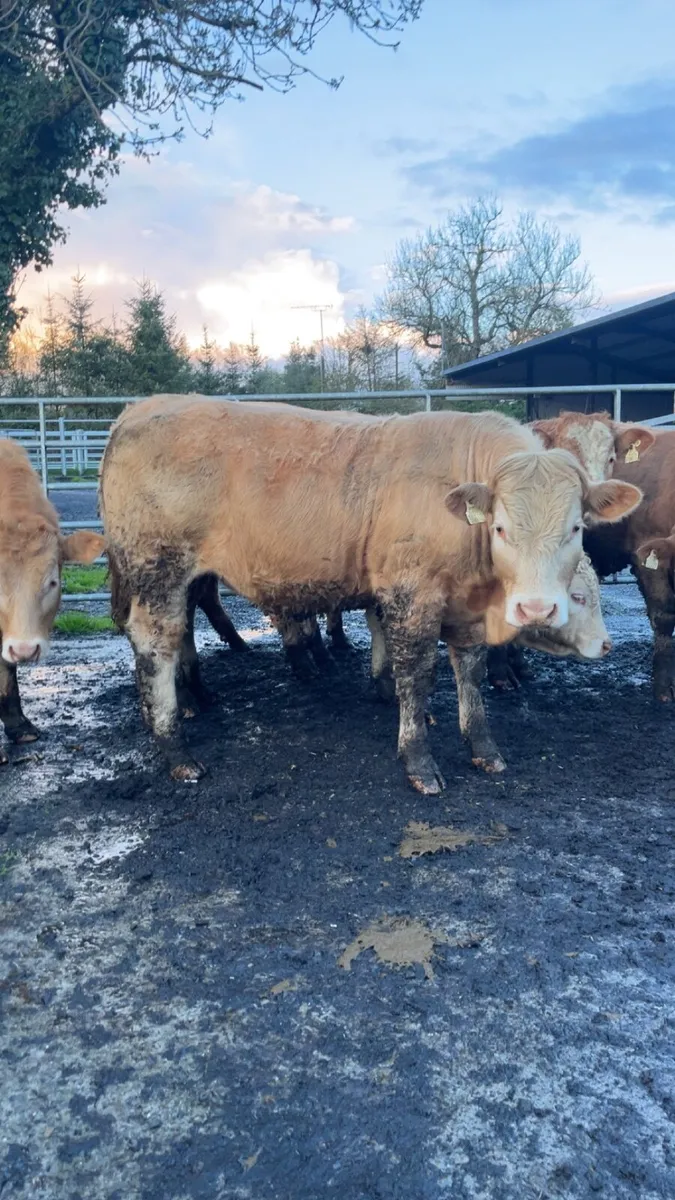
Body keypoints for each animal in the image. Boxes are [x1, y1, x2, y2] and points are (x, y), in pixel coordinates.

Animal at [100, 396, 640, 791]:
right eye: (502, 528)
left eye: (574, 528)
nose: (535, 607)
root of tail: (138, 408)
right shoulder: (412, 594)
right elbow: (416, 675)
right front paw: (418, 759)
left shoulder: (463, 607)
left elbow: (469, 673)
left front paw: (483, 748)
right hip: (158, 570)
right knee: (156, 644)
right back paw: (176, 748)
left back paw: (194, 699)